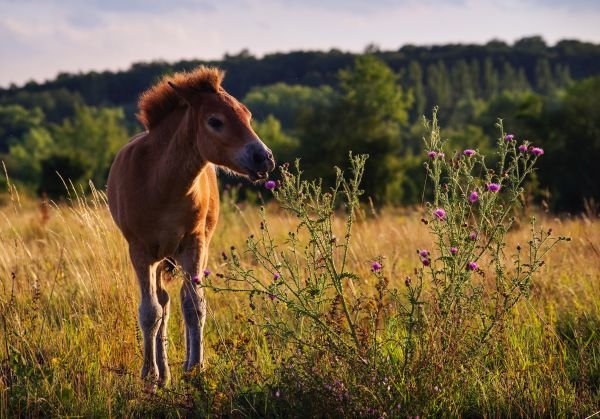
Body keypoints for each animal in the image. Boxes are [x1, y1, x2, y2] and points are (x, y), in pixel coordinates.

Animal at [106, 66, 276, 388]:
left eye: (247, 115)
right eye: (215, 121)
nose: (264, 158)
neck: (161, 183)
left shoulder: (193, 244)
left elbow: (195, 305)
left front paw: (196, 368)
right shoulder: (140, 251)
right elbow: (150, 312)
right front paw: (149, 376)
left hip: (192, 250)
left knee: (180, 299)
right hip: (159, 257)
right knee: (162, 303)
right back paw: (162, 373)